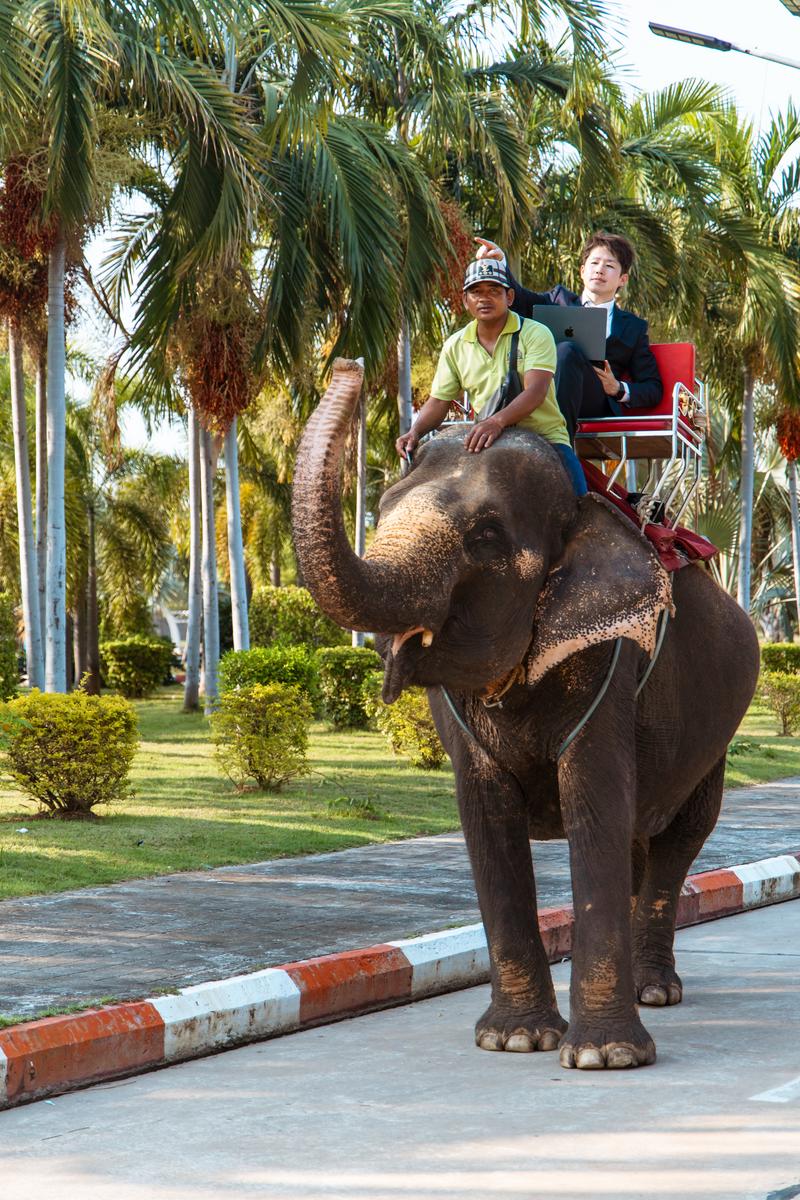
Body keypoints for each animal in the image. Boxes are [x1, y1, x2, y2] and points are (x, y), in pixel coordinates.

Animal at [292, 358, 760, 1070]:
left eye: (485, 537)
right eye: (381, 510)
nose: (349, 364)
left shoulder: (612, 656)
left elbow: (593, 801)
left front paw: (601, 1057)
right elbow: (487, 817)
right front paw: (514, 1041)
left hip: (718, 733)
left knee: (679, 838)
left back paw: (655, 992)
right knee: (637, 838)